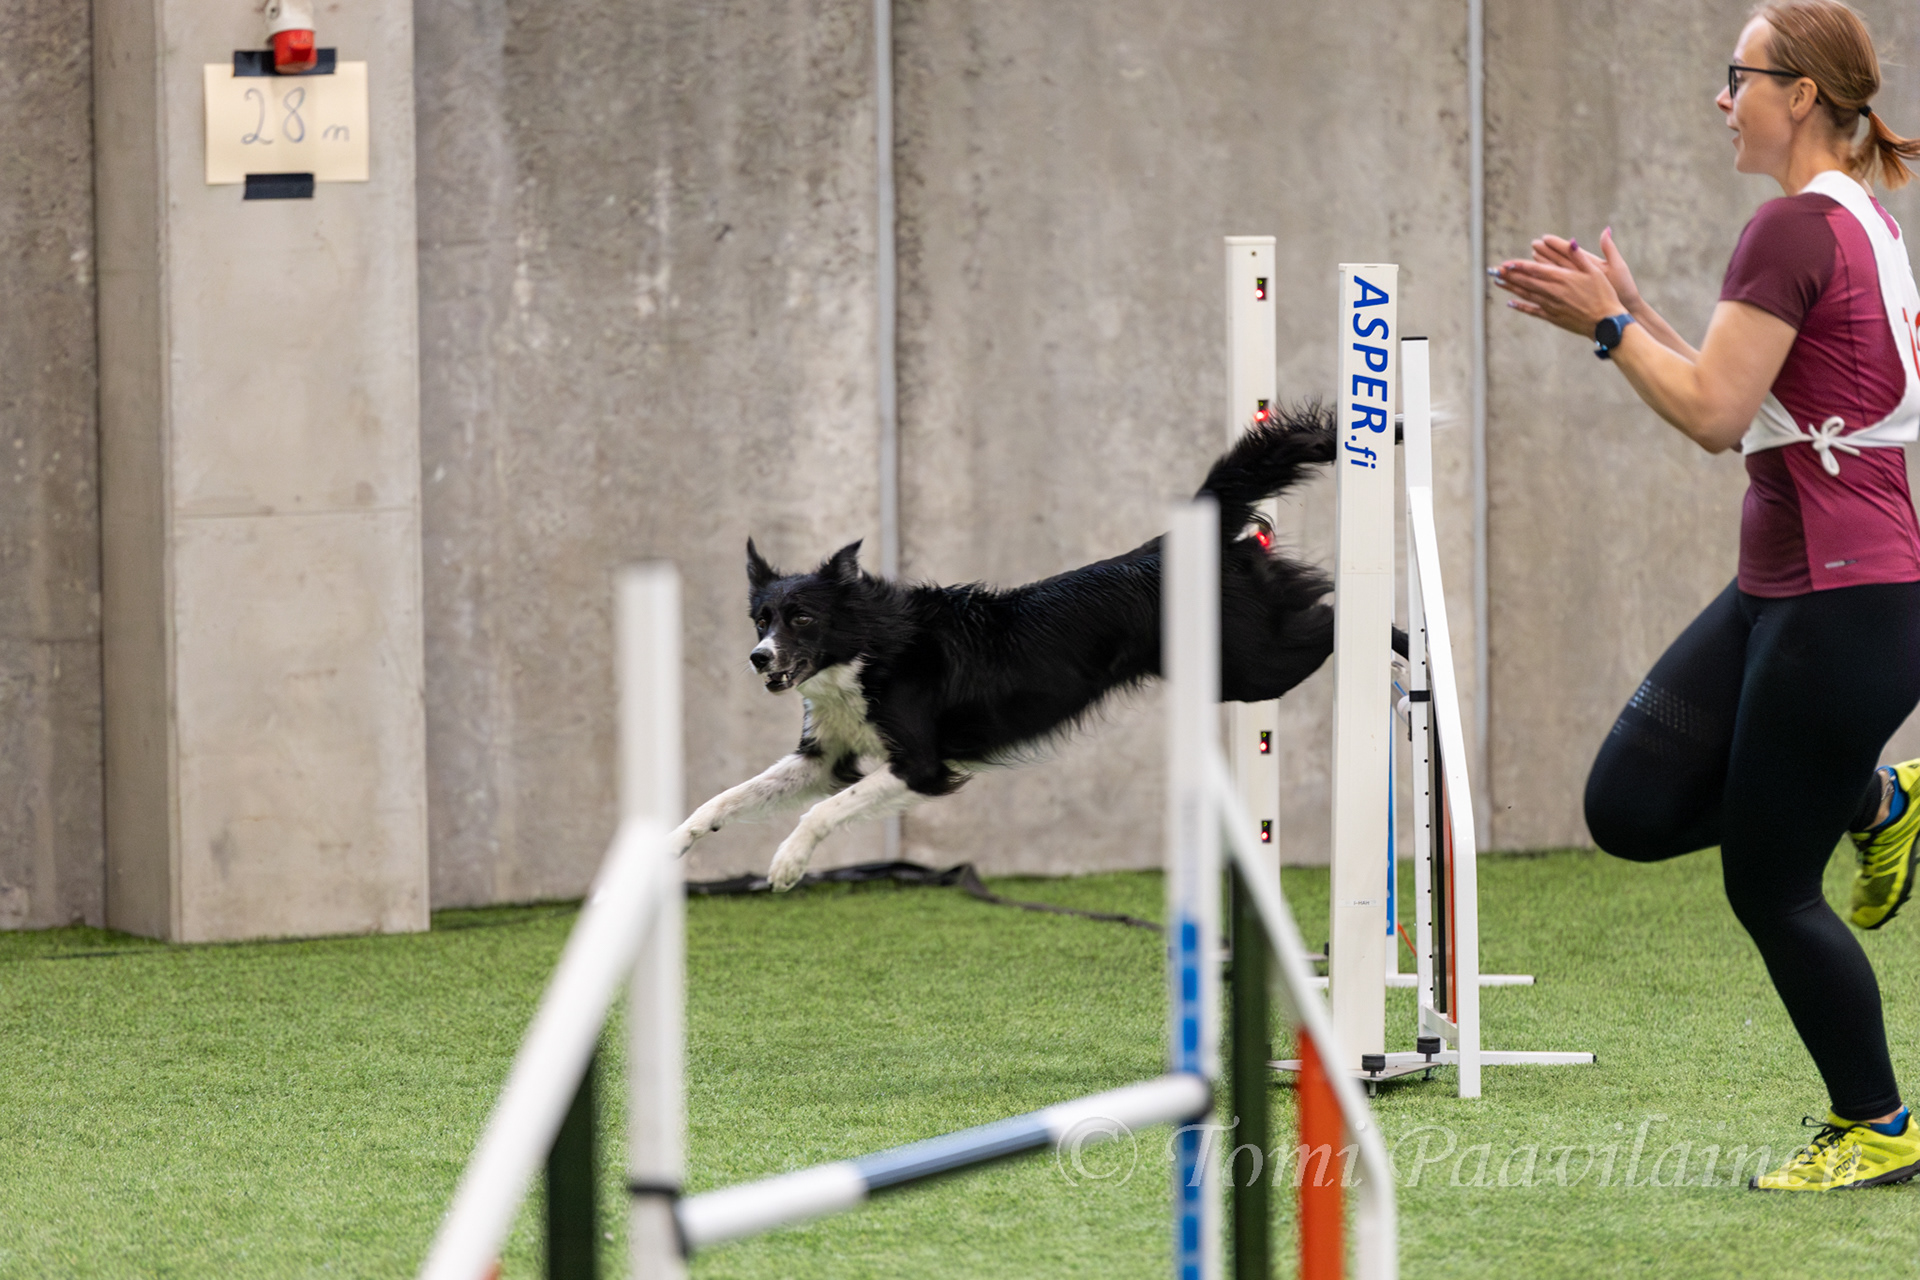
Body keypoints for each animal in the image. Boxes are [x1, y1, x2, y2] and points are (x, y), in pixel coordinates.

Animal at [669, 403, 1344, 889]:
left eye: (803, 618)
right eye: (760, 620)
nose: (758, 658)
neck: (866, 653)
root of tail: (1170, 543)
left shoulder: (920, 765)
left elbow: (823, 811)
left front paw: (787, 863)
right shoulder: (825, 757)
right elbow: (730, 795)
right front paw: (677, 839)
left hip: (1250, 666)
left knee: (1331, 617)